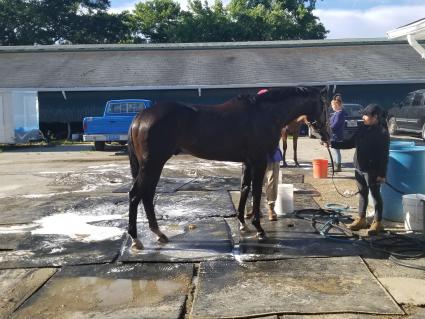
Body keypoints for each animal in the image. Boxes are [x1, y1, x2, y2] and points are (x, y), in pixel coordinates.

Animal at [126, 87, 328, 250]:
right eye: (324, 106)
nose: (326, 135)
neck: (264, 114)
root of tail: (140, 116)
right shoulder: (259, 162)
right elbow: (256, 192)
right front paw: (259, 229)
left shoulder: (248, 162)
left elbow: (244, 188)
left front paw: (243, 224)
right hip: (151, 165)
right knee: (136, 195)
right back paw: (136, 239)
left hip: (154, 166)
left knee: (147, 195)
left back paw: (159, 233)